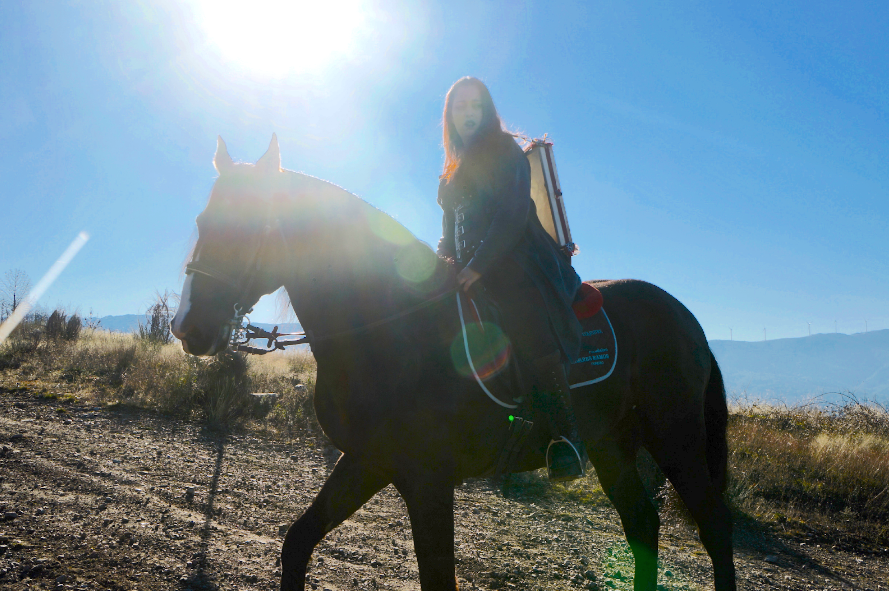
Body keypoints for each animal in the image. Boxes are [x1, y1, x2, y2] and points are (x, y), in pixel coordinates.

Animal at [172, 136, 736, 591]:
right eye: (200, 222)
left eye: (248, 226)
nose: (188, 327)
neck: (392, 328)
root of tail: (688, 321)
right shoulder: (367, 461)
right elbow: (297, 542)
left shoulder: (428, 481)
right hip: (610, 443)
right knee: (642, 524)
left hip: (676, 437)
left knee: (714, 527)